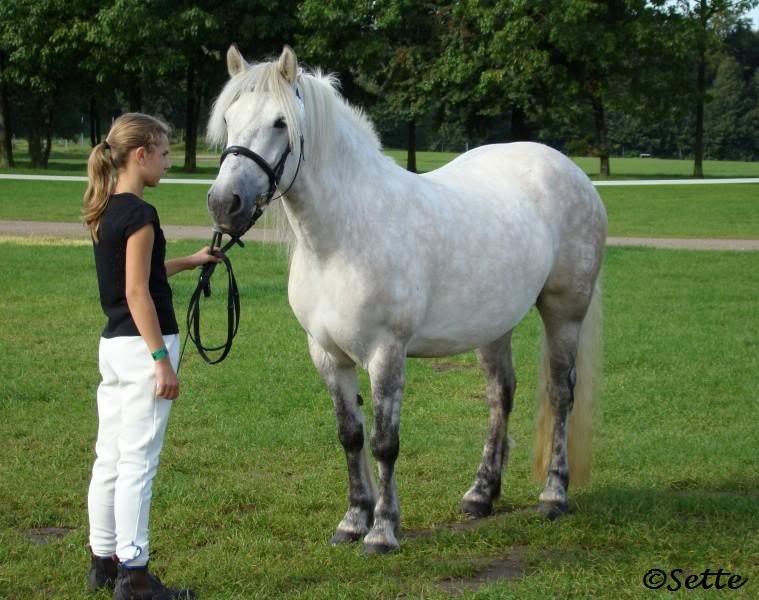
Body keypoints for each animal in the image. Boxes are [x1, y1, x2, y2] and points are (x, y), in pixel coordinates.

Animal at [206, 45, 607, 554]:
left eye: (281, 123)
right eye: (229, 118)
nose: (225, 204)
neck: (342, 238)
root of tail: (570, 171)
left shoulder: (386, 353)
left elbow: (384, 442)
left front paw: (382, 531)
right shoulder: (327, 354)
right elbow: (350, 436)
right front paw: (352, 521)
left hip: (564, 312)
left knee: (559, 393)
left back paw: (554, 494)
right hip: (492, 326)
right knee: (500, 396)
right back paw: (481, 494)